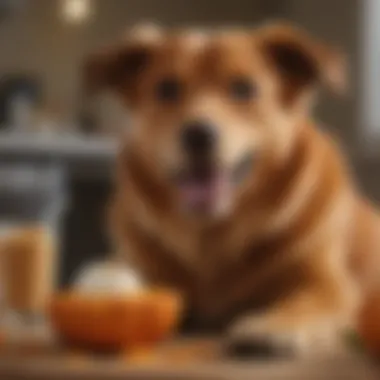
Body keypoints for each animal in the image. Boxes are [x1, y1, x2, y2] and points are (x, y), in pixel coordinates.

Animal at [84, 22, 380, 354]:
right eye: (166, 89)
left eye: (243, 89)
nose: (198, 135)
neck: (214, 236)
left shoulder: (328, 285)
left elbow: (306, 303)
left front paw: (274, 325)